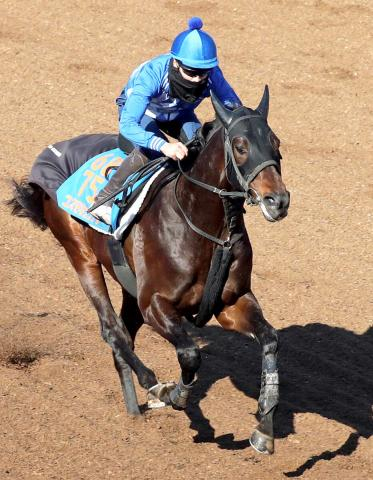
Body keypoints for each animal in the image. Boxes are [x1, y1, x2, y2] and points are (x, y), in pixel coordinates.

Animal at [7, 87, 290, 454]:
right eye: (241, 146)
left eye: (276, 142)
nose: (278, 201)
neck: (204, 227)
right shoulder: (155, 303)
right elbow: (190, 355)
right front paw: (173, 393)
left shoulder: (232, 302)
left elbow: (270, 340)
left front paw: (264, 427)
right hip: (81, 255)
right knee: (112, 330)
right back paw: (151, 386)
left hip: (128, 285)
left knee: (125, 333)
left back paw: (133, 406)